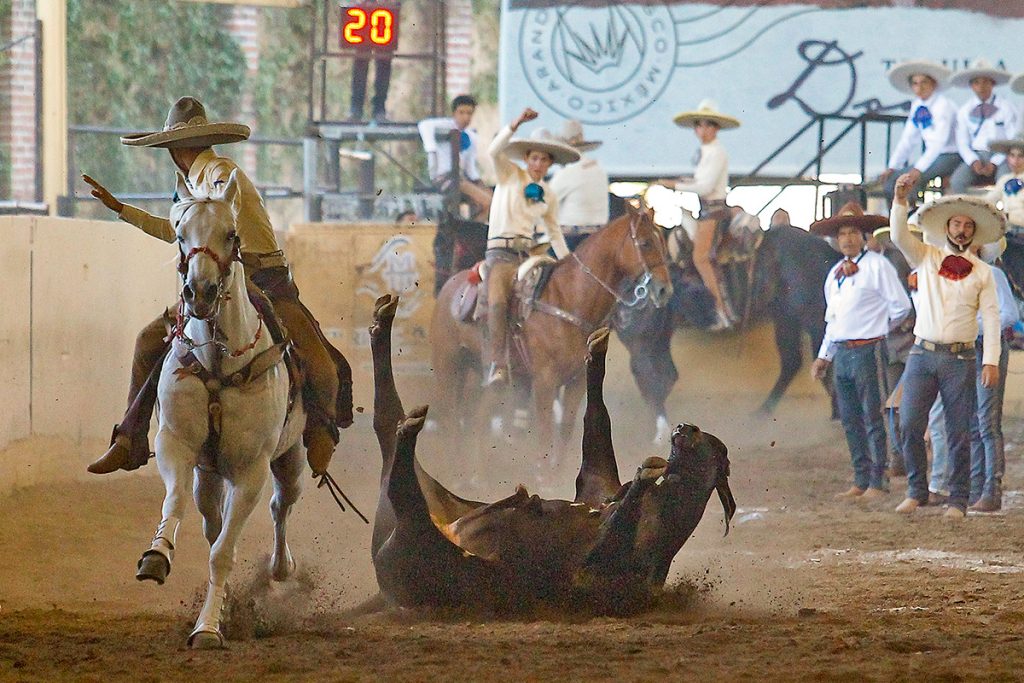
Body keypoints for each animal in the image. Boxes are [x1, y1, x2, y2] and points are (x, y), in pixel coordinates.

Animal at [138, 171, 309, 651]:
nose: (200, 292)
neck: (217, 363)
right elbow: (175, 502)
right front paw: (156, 556)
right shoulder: (176, 444)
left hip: (290, 459)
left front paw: (208, 628)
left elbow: (223, 554)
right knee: (212, 519)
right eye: (180, 233)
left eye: (231, 233)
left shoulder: (252, 470)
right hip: (210, 474)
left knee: (281, 505)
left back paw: (281, 567)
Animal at [430, 202, 675, 448]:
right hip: (447, 365)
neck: (568, 298)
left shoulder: (574, 383)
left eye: (661, 243)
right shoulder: (544, 382)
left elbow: (560, 436)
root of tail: (450, 288)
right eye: (645, 243)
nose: (664, 290)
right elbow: (544, 436)